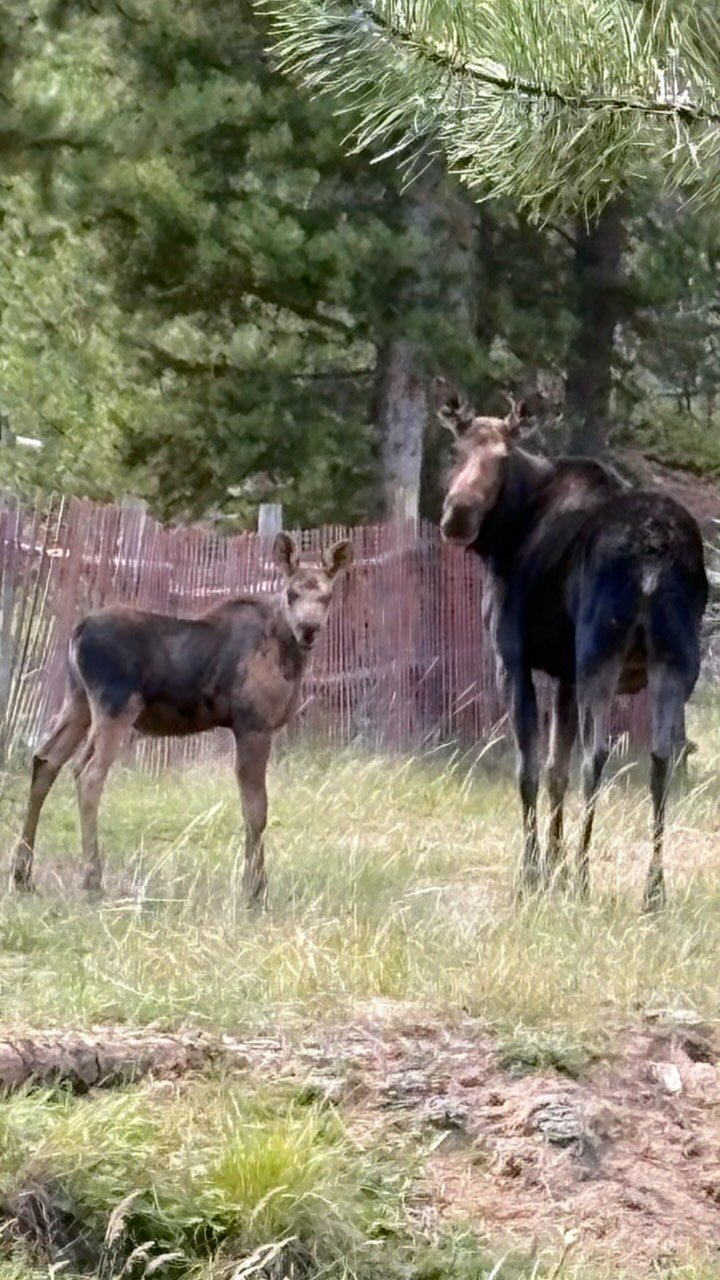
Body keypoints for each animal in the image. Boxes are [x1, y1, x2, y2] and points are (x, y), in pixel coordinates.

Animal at [9, 532, 353, 904]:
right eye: (292, 593)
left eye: (327, 595)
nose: (309, 629)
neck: (290, 656)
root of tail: (77, 632)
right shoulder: (254, 725)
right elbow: (256, 811)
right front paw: (254, 891)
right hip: (115, 705)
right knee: (87, 775)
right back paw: (91, 880)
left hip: (78, 702)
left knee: (45, 760)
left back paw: (22, 874)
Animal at [437, 384, 708, 910]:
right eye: (455, 450)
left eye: (502, 458)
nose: (457, 515)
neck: (506, 536)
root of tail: (655, 551)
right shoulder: (564, 673)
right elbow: (554, 770)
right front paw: (554, 870)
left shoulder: (513, 659)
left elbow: (529, 768)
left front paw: (534, 874)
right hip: (677, 661)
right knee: (662, 757)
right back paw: (653, 889)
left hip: (599, 651)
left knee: (596, 754)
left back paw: (585, 877)